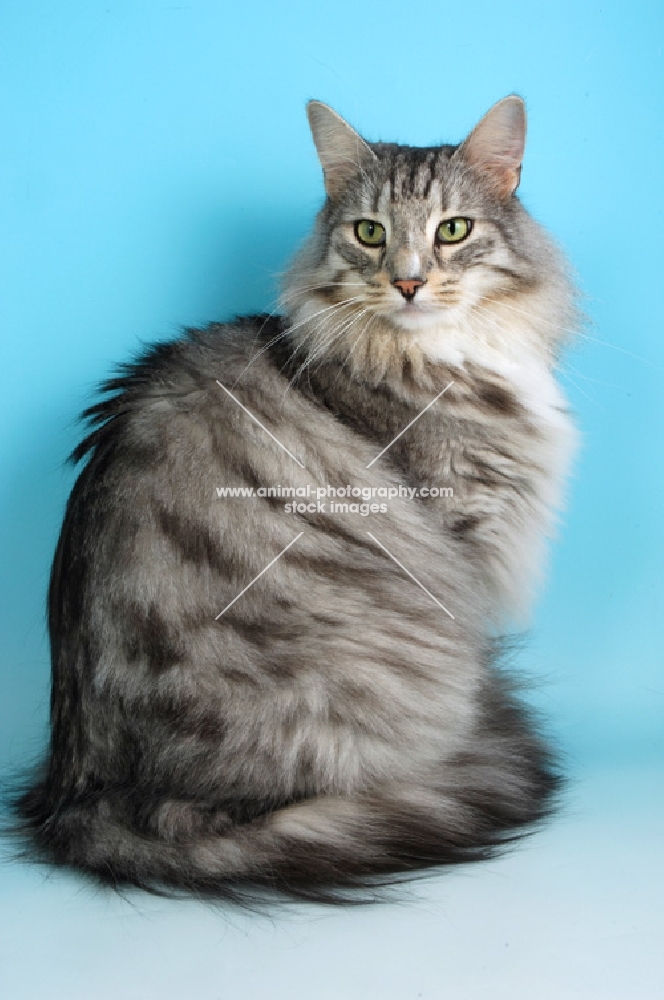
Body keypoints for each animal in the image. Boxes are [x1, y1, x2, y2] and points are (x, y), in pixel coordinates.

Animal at [13, 97, 580, 904]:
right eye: (370, 233)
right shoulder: (461, 543)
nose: (408, 283)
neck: (433, 355)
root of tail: (84, 796)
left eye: (453, 230)